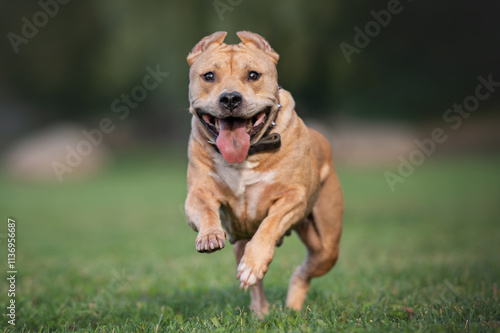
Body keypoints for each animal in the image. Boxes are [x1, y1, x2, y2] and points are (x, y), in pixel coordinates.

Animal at [184, 31, 344, 314]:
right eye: (209, 76)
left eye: (253, 75)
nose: (230, 98)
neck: (247, 156)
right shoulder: (198, 193)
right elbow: (204, 210)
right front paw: (210, 236)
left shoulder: (294, 196)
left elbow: (270, 223)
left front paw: (255, 261)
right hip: (240, 241)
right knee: (254, 284)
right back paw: (260, 312)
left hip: (327, 244)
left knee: (303, 271)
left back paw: (291, 306)